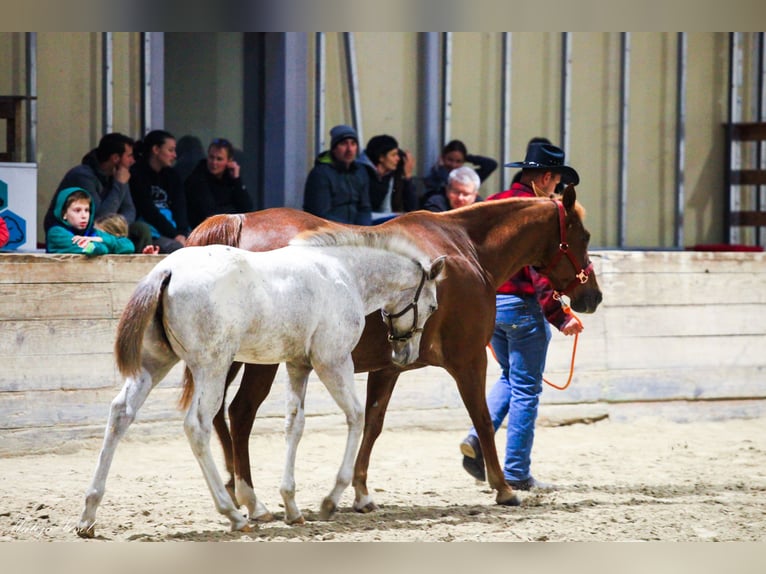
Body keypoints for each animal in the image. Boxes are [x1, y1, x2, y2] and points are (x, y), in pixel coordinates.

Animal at [188, 184, 608, 520]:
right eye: (585, 234)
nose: (593, 296)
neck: (466, 248)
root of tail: (238, 222)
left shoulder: (388, 367)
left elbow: (373, 425)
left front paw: (360, 494)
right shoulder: (469, 359)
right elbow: (484, 418)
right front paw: (503, 488)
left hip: (228, 358)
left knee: (219, 417)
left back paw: (233, 490)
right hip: (261, 362)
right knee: (240, 414)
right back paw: (251, 499)